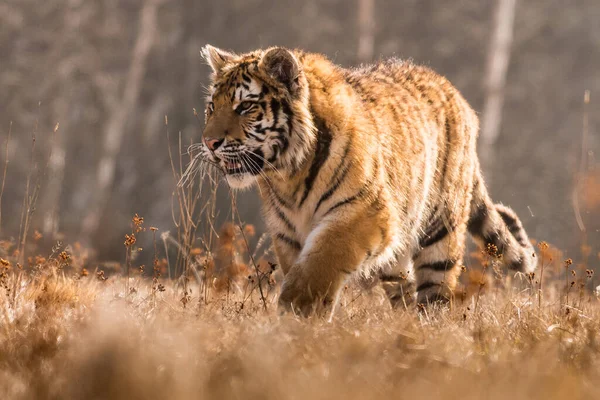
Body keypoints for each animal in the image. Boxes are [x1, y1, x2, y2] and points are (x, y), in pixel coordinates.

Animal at [198, 45, 540, 316]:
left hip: (440, 228)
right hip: (398, 254)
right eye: (212, 106)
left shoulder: (365, 212)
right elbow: (302, 267)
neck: (287, 174)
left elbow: (318, 265)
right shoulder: (286, 232)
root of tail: (460, 98)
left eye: (245, 106)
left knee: (435, 294)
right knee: (403, 291)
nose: (209, 142)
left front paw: (296, 312)